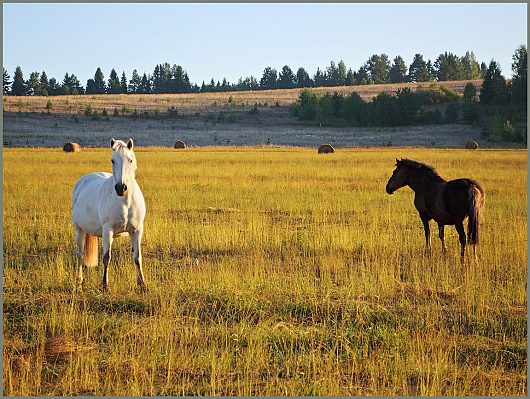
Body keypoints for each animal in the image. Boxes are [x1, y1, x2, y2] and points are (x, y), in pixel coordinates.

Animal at [71, 139, 146, 292]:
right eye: (112, 160)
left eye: (130, 159)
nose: (120, 188)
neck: (125, 201)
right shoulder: (108, 230)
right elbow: (107, 257)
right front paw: (104, 284)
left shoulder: (137, 230)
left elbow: (137, 257)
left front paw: (142, 285)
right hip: (79, 230)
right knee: (80, 254)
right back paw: (79, 280)